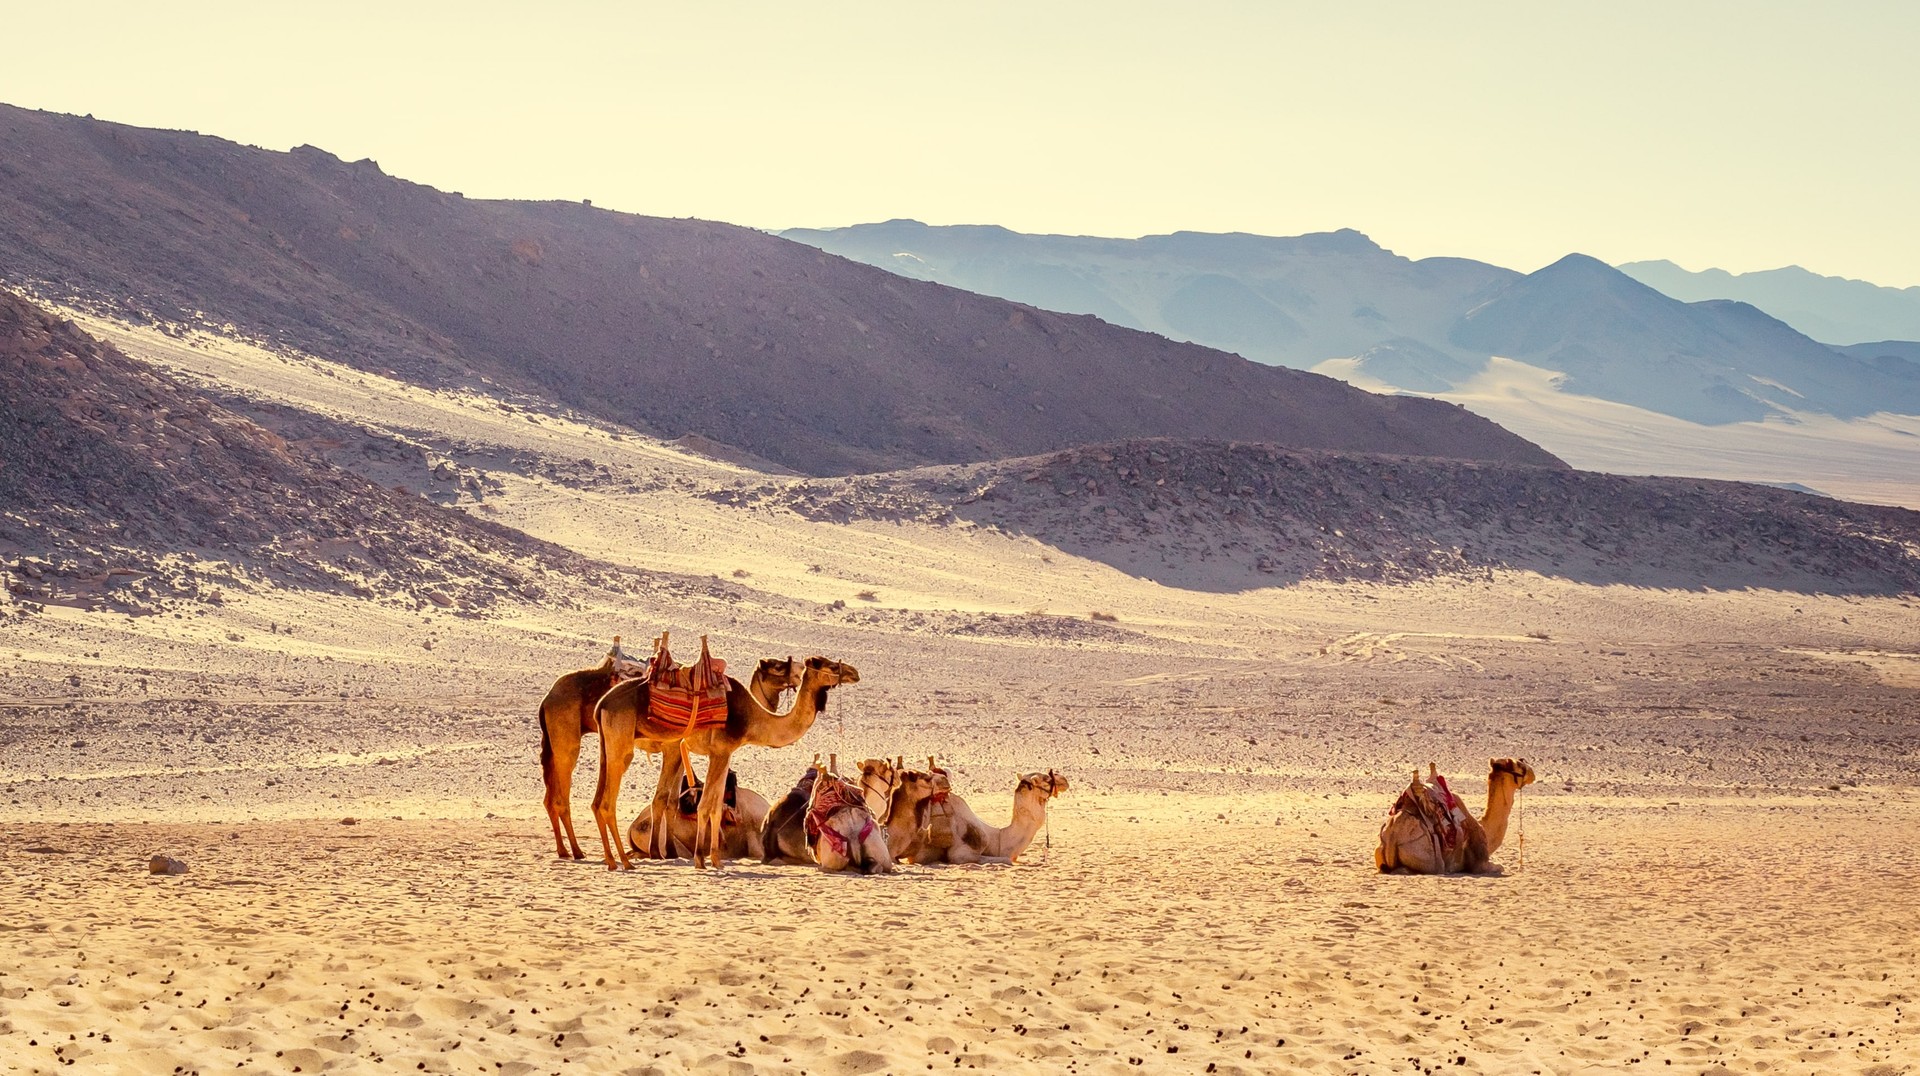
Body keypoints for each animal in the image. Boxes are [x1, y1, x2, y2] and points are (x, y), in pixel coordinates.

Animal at [537, 644, 799, 861]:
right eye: (777, 666)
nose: (798, 671)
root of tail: (547, 698)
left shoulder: (678, 751)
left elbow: (672, 800)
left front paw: (668, 850)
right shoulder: (673, 747)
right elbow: (663, 799)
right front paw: (658, 851)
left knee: (551, 796)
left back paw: (565, 850)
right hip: (567, 739)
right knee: (562, 795)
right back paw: (577, 851)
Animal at [590, 655, 859, 870]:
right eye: (830, 665)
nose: (854, 672)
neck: (753, 718)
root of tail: (602, 703)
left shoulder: (719, 753)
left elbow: (715, 805)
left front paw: (714, 859)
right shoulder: (721, 751)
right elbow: (707, 805)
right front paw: (702, 859)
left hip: (610, 745)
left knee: (602, 800)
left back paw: (617, 860)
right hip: (625, 745)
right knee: (610, 802)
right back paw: (626, 862)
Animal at [1374, 758, 1536, 875]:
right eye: (1519, 764)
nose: (1532, 773)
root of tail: (1392, 837)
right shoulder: (1481, 864)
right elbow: (1499, 867)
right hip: (1426, 858)